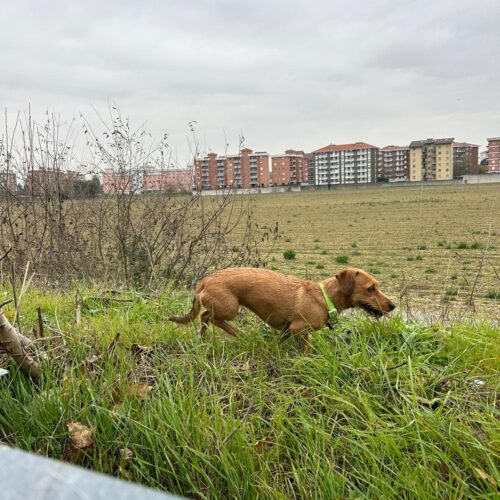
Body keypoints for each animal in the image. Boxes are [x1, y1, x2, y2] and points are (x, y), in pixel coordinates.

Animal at [170, 266, 396, 348]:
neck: (324, 297)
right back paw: (237, 333)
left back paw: (205, 336)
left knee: (205, 318)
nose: (393, 306)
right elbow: (308, 347)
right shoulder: (298, 328)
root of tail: (205, 280)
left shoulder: (290, 330)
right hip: (230, 308)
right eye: (371, 289)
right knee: (208, 317)